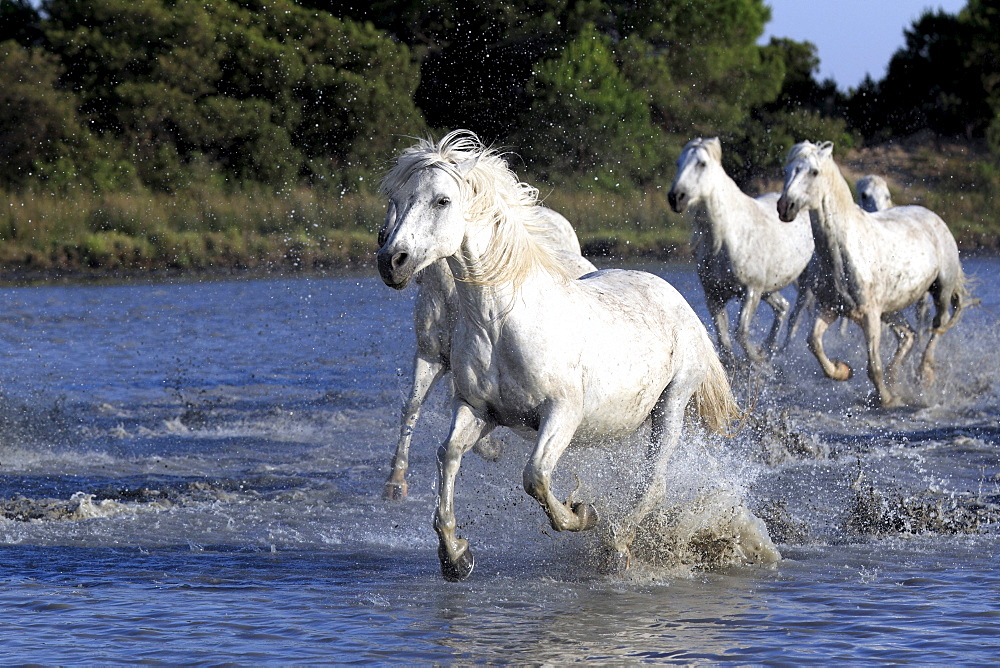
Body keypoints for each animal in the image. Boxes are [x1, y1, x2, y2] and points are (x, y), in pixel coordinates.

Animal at [376, 130, 736, 580]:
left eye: (442, 200)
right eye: (395, 198)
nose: (391, 262)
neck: (500, 324)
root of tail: (676, 298)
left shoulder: (562, 411)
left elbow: (536, 476)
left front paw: (583, 514)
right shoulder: (477, 409)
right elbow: (449, 454)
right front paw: (456, 556)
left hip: (672, 403)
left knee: (653, 483)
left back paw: (618, 547)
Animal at [664, 137, 812, 366]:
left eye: (701, 164)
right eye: (678, 163)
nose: (676, 197)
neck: (727, 240)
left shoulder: (751, 291)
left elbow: (740, 333)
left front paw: (757, 361)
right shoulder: (714, 295)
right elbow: (724, 343)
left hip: (803, 283)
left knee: (796, 313)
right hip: (769, 288)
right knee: (783, 307)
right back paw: (769, 348)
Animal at [772, 140, 968, 408]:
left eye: (814, 172)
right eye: (786, 170)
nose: (785, 207)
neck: (843, 251)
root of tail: (934, 217)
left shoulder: (869, 315)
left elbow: (873, 365)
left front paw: (886, 399)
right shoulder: (830, 308)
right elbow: (814, 342)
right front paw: (842, 371)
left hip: (941, 290)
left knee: (937, 326)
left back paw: (923, 374)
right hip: (891, 308)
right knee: (908, 335)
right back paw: (895, 376)